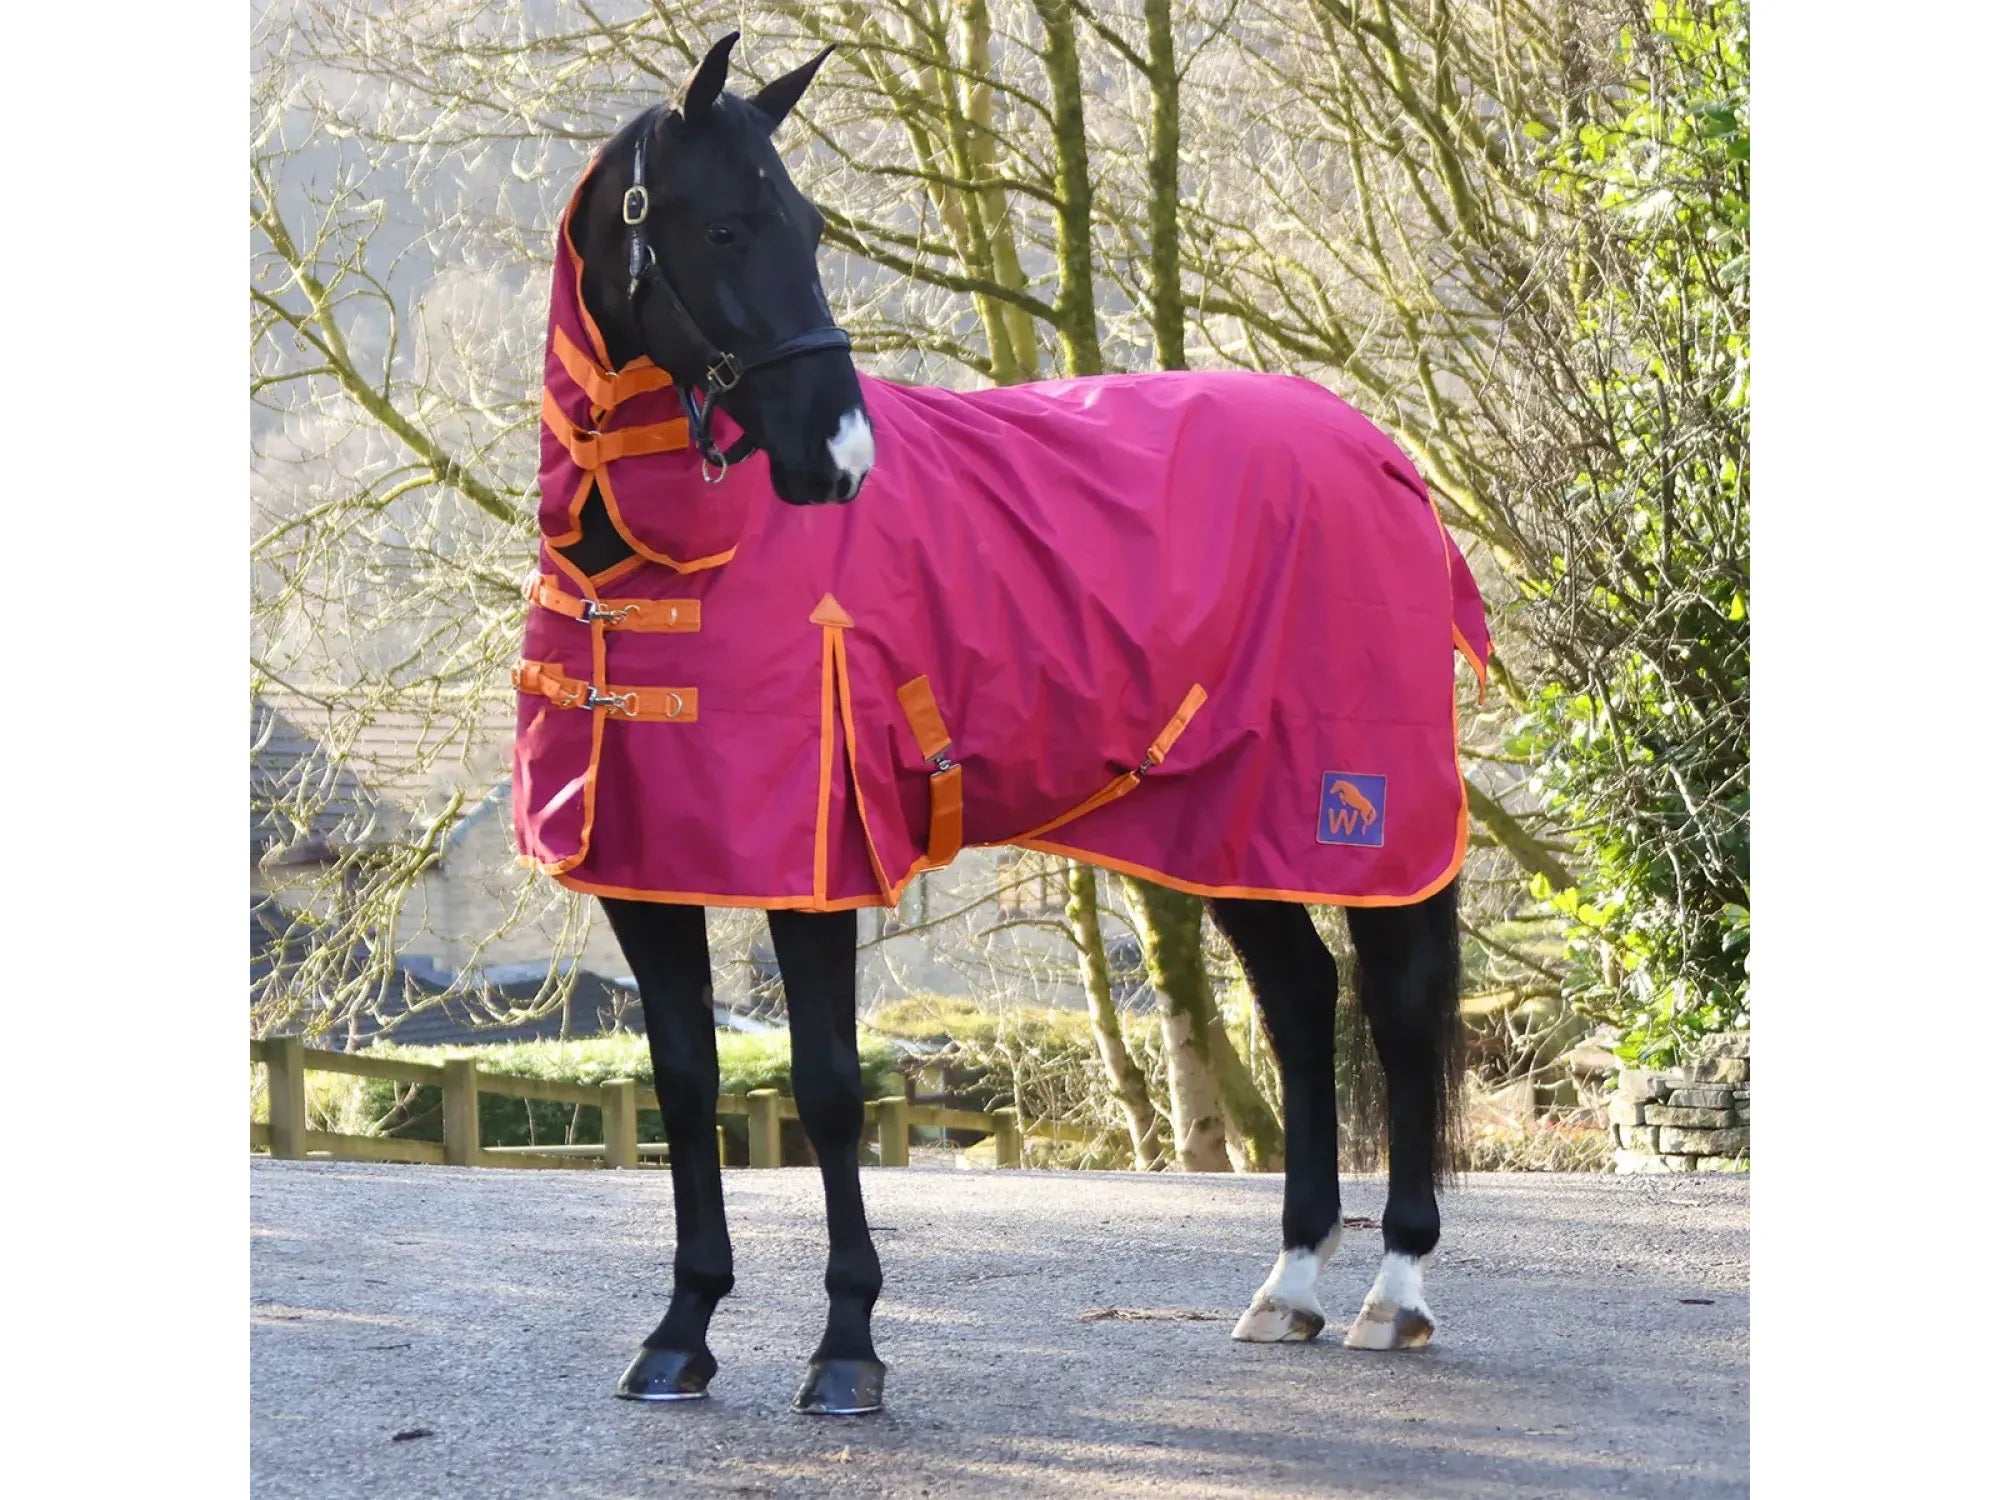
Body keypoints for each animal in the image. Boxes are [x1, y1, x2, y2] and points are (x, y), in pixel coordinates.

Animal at [521, 33, 1476, 1416]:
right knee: (1298, 1000)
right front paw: (681, 1333)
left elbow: (826, 1090)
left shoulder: (814, 867)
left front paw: (846, 1352)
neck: (665, 561)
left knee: (1392, 1013)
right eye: (723, 226)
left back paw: (1392, 1292)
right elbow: (686, 1085)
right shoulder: (647, 873)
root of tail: (1382, 455)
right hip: (1228, 828)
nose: (840, 459)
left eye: (807, 226)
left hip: (1359, 817)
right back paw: (1287, 1284)